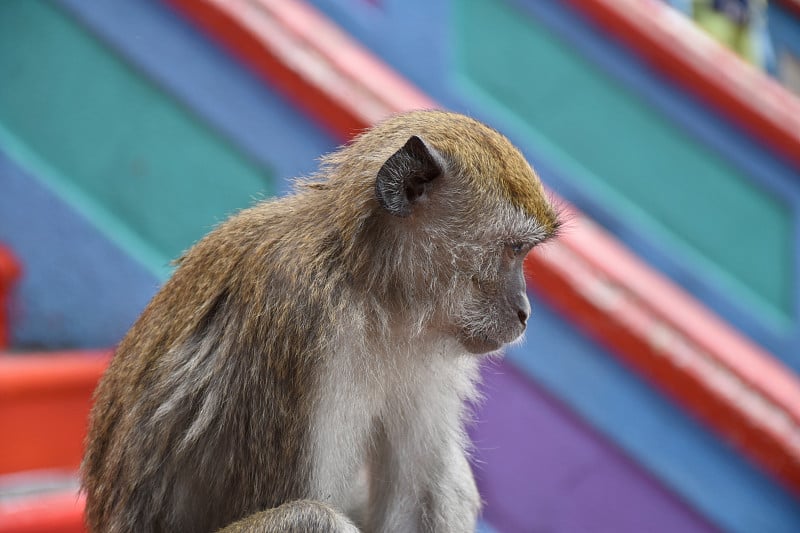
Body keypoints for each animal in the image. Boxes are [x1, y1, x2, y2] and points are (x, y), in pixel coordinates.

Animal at [79, 110, 556, 528]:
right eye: (514, 249)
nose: (525, 312)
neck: (371, 289)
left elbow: (419, 496)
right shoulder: (299, 320)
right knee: (314, 518)